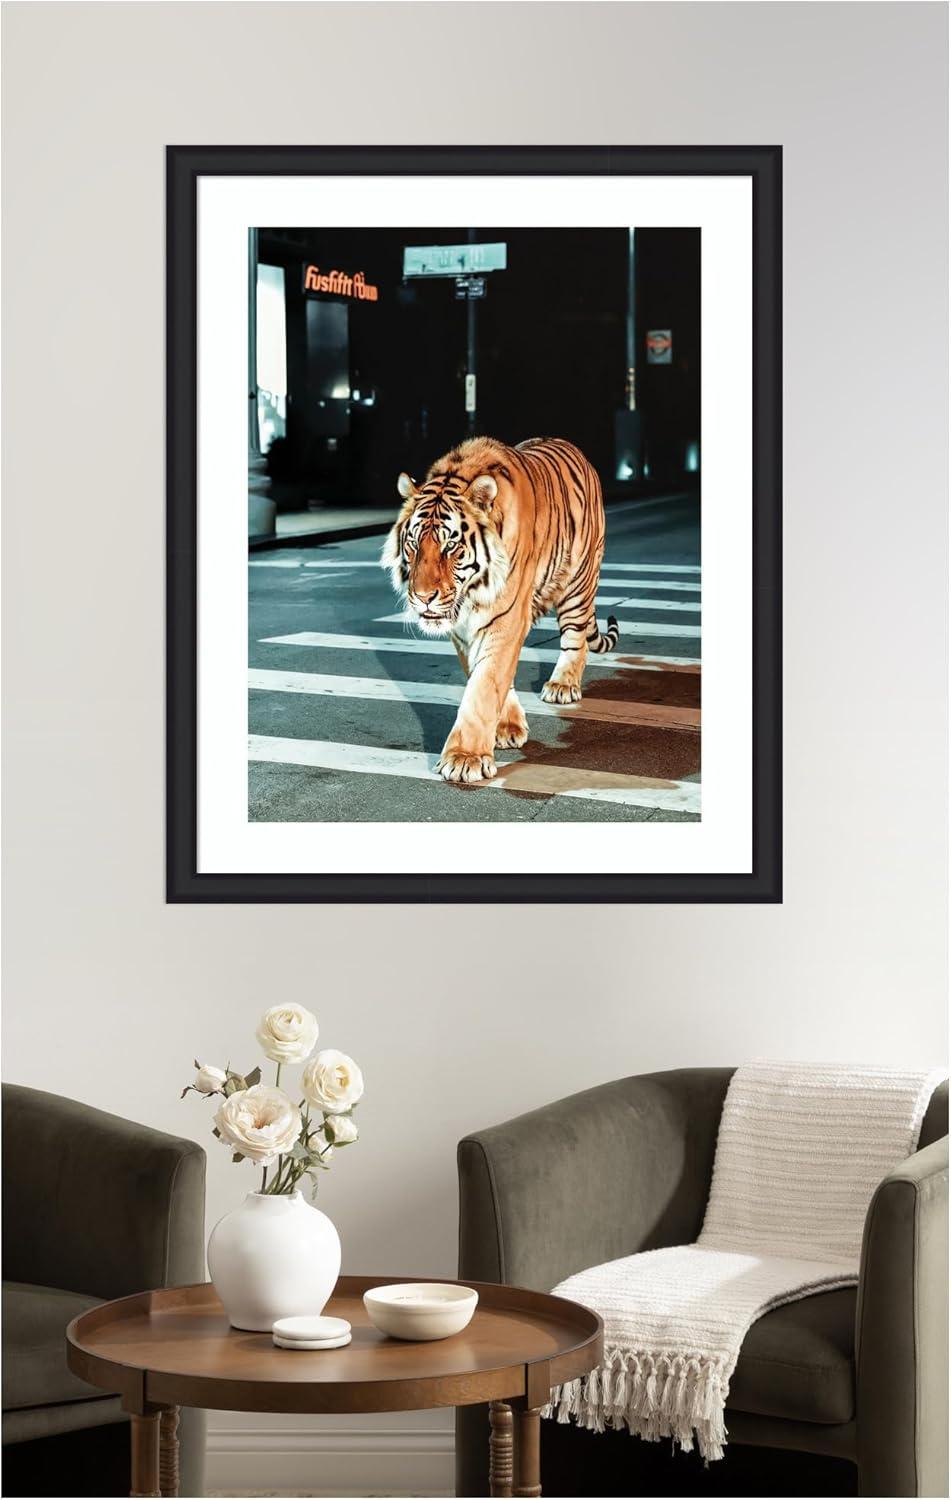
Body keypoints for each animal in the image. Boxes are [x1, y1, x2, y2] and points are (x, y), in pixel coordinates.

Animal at [380, 435, 619, 783]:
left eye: (450, 546)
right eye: (413, 544)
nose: (423, 597)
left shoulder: (505, 618)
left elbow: (484, 684)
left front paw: (464, 758)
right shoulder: (463, 629)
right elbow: (487, 676)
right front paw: (506, 728)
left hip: (578, 582)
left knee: (576, 639)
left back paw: (562, 685)